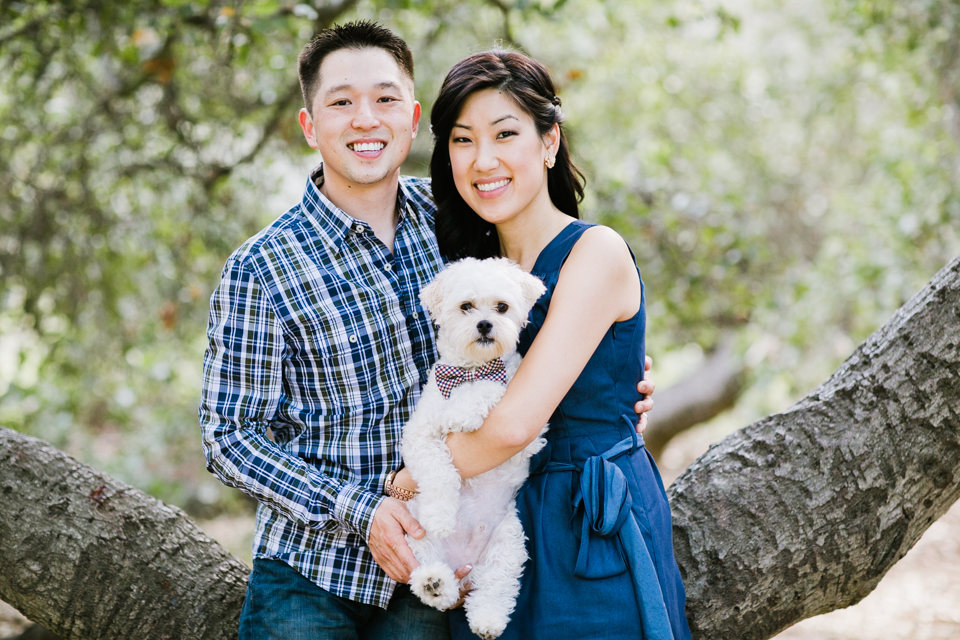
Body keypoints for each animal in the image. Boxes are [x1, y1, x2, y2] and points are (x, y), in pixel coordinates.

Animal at [400, 258, 548, 636]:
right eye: (466, 306)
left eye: (502, 307)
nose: (484, 324)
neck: (469, 369)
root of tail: (462, 564)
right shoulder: (419, 435)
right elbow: (438, 471)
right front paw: (441, 514)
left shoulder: (528, 430)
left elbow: (489, 389)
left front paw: (464, 412)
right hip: (415, 534)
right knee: (428, 570)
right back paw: (434, 584)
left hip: (509, 541)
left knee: (496, 586)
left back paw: (487, 619)